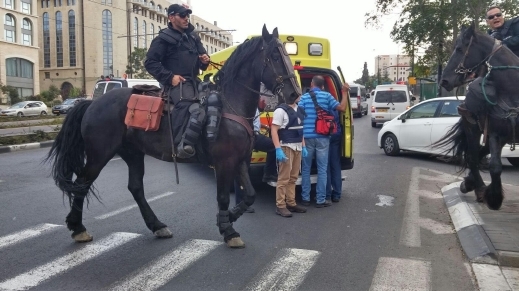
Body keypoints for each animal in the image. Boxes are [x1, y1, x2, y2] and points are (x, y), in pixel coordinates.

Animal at [46, 25, 302, 249]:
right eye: (275, 56)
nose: (294, 94)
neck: (231, 105)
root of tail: (92, 102)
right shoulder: (224, 162)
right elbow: (222, 196)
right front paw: (228, 230)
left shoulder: (240, 160)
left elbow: (249, 195)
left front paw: (229, 217)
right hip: (99, 154)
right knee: (82, 183)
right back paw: (78, 228)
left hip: (133, 153)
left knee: (135, 187)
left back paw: (157, 225)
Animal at [436, 22, 516, 210]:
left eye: (459, 48)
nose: (444, 81)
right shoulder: (495, 133)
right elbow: (495, 167)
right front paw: (494, 198)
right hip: (472, 127)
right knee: (472, 157)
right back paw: (476, 188)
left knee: (478, 154)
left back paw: (471, 183)